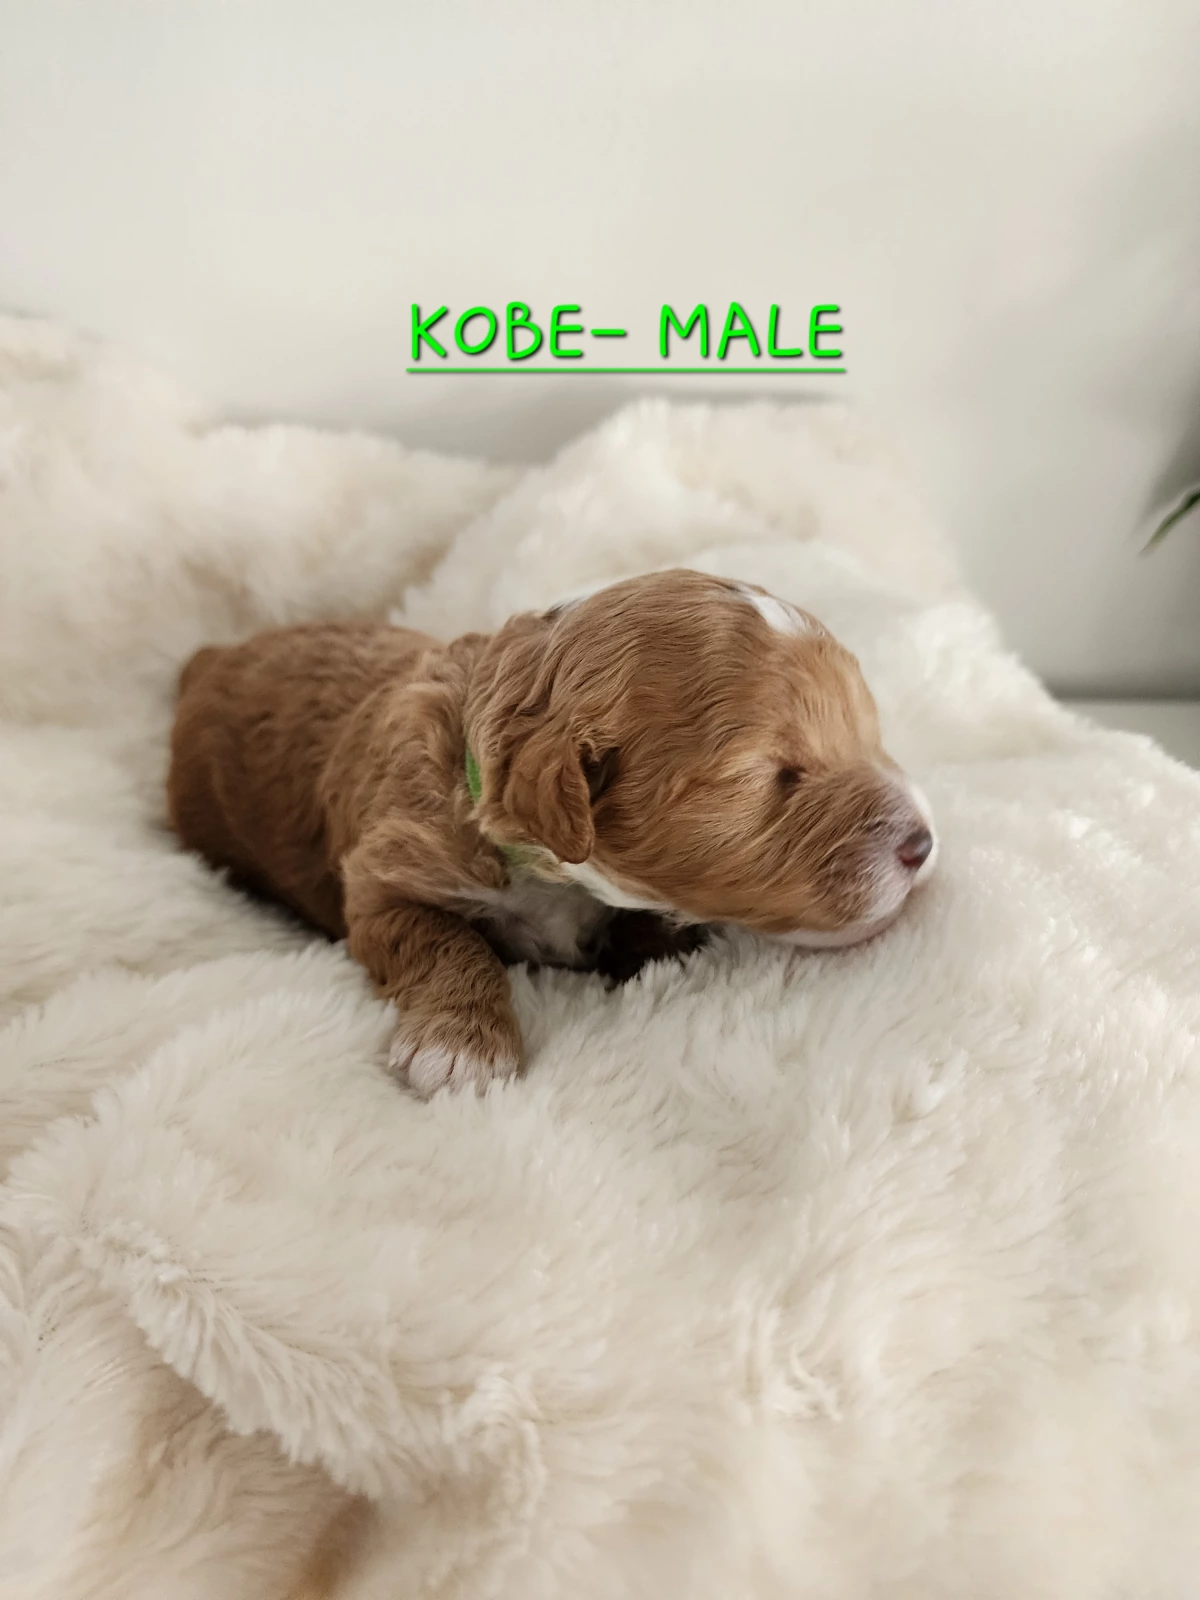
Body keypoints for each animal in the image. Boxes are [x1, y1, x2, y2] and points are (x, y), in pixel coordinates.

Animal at [167, 568, 937, 1095]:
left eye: (864, 732)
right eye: (774, 775)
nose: (923, 844)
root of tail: (209, 655)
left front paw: (657, 947)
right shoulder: (384, 880)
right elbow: (445, 943)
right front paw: (462, 1051)